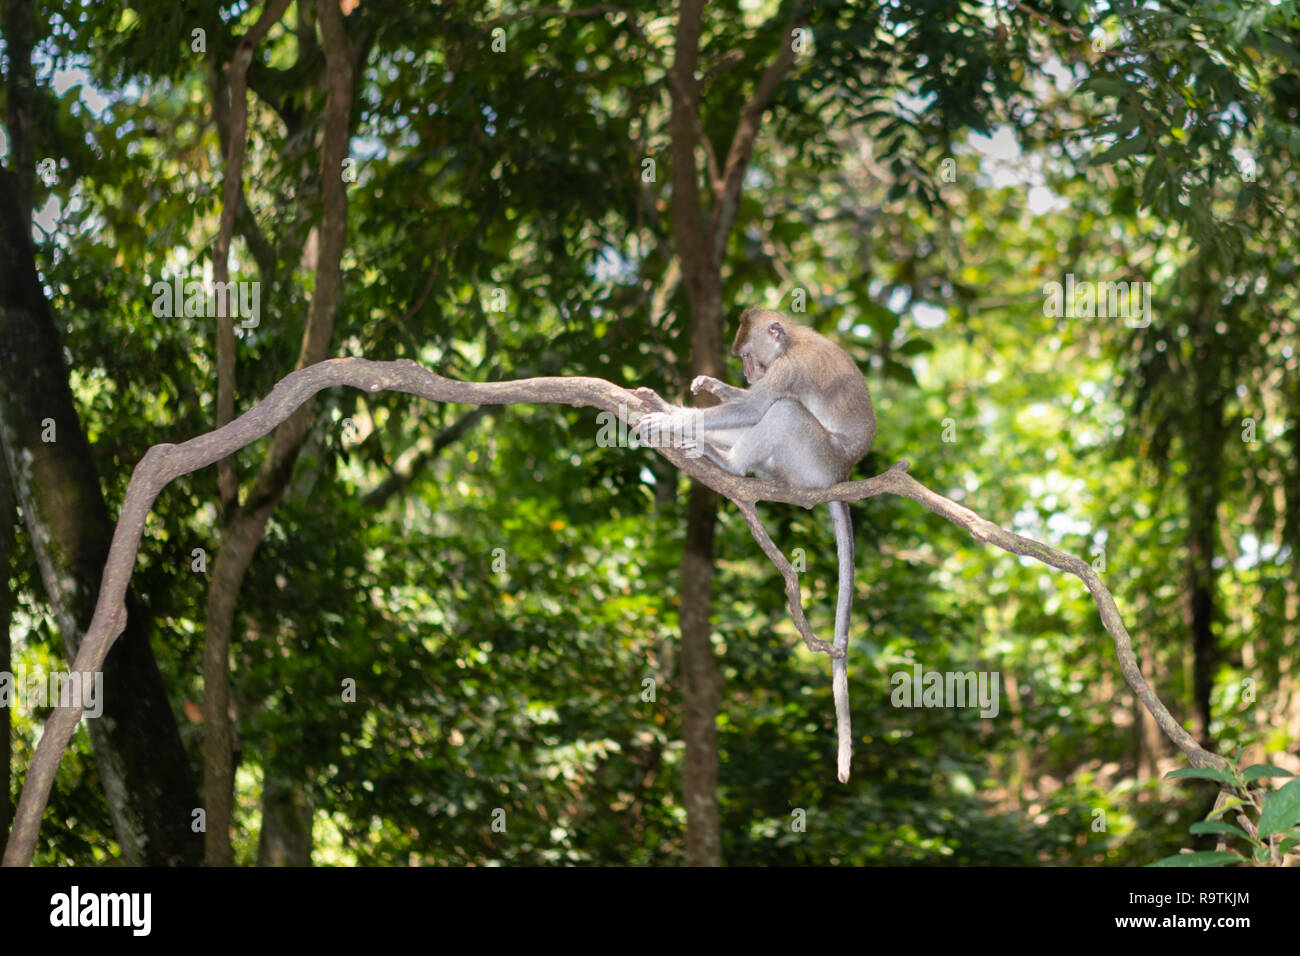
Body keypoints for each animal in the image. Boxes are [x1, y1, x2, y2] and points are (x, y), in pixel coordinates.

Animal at [637, 310, 878, 780]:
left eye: (748, 355)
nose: (748, 372)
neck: (792, 341)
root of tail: (841, 476)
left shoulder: (791, 369)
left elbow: (756, 405)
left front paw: (674, 417)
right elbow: (747, 406)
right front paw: (707, 389)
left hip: (811, 463)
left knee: (782, 411)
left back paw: (726, 462)